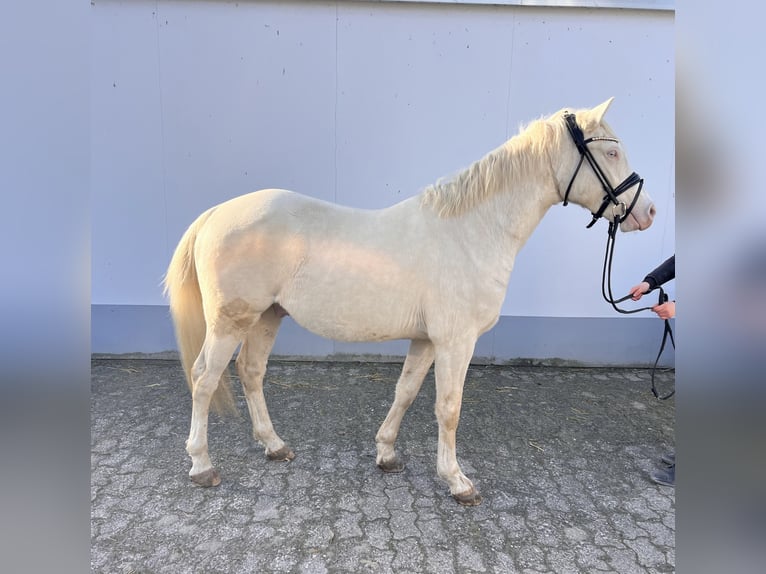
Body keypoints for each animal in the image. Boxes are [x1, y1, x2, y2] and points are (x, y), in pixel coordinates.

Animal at [165, 100, 656, 508]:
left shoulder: (427, 340)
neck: (472, 231)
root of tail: (216, 214)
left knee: (250, 372)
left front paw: (386, 454)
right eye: (611, 152)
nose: (647, 212)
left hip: (268, 315)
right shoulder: (457, 341)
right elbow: (449, 408)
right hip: (232, 320)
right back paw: (202, 465)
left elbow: (406, 392)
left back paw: (274, 445)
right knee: (205, 378)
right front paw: (457, 482)